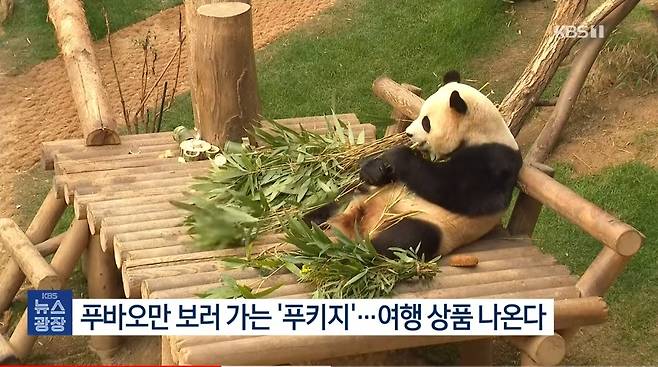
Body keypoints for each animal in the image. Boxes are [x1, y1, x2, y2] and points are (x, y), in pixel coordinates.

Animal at [310, 69, 520, 258]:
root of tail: (365, 223)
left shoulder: (493, 162)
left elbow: (453, 189)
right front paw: (376, 169)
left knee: (406, 238)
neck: (479, 132)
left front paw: (397, 155)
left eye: (426, 122)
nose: (409, 133)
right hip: (364, 194)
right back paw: (312, 223)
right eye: (418, 115)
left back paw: (352, 249)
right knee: (336, 201)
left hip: (430, 223)